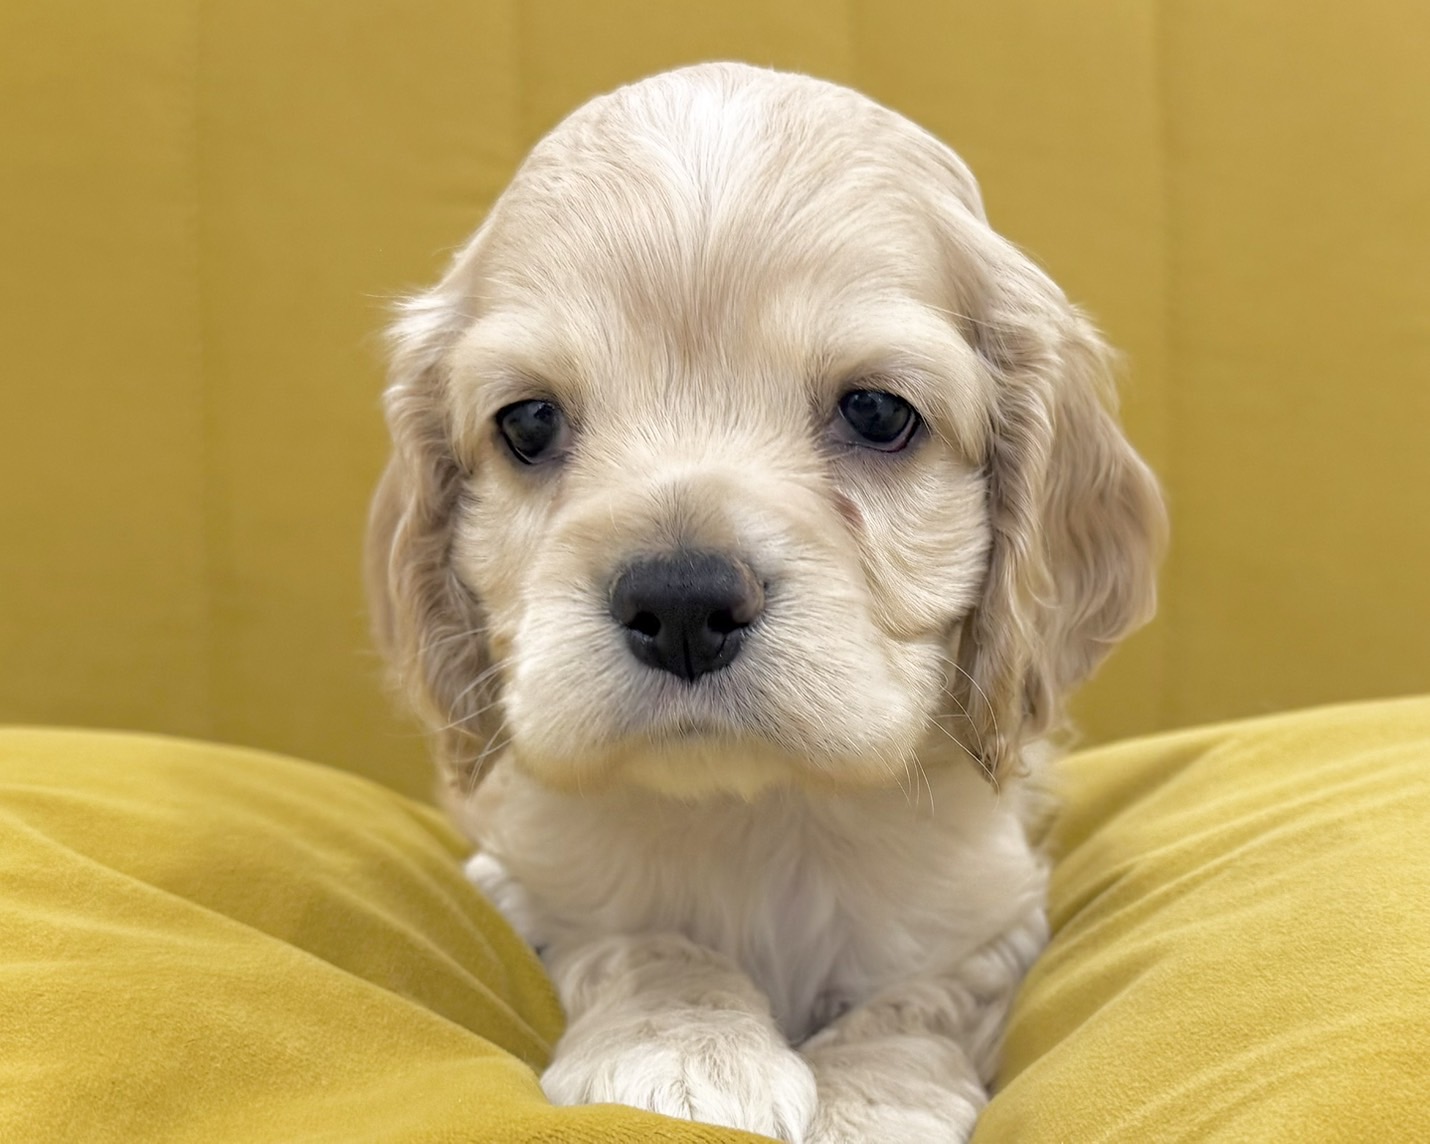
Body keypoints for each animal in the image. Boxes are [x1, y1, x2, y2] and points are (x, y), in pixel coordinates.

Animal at [367, 62, 1165, 1142]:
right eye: (527, 422)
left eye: (877, 412)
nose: (681, 603)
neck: (757, 812)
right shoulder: (523, 882)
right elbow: (643, 944)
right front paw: (684, 1049)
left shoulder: (991, 916)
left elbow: (919, 999)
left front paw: (875, 1098)